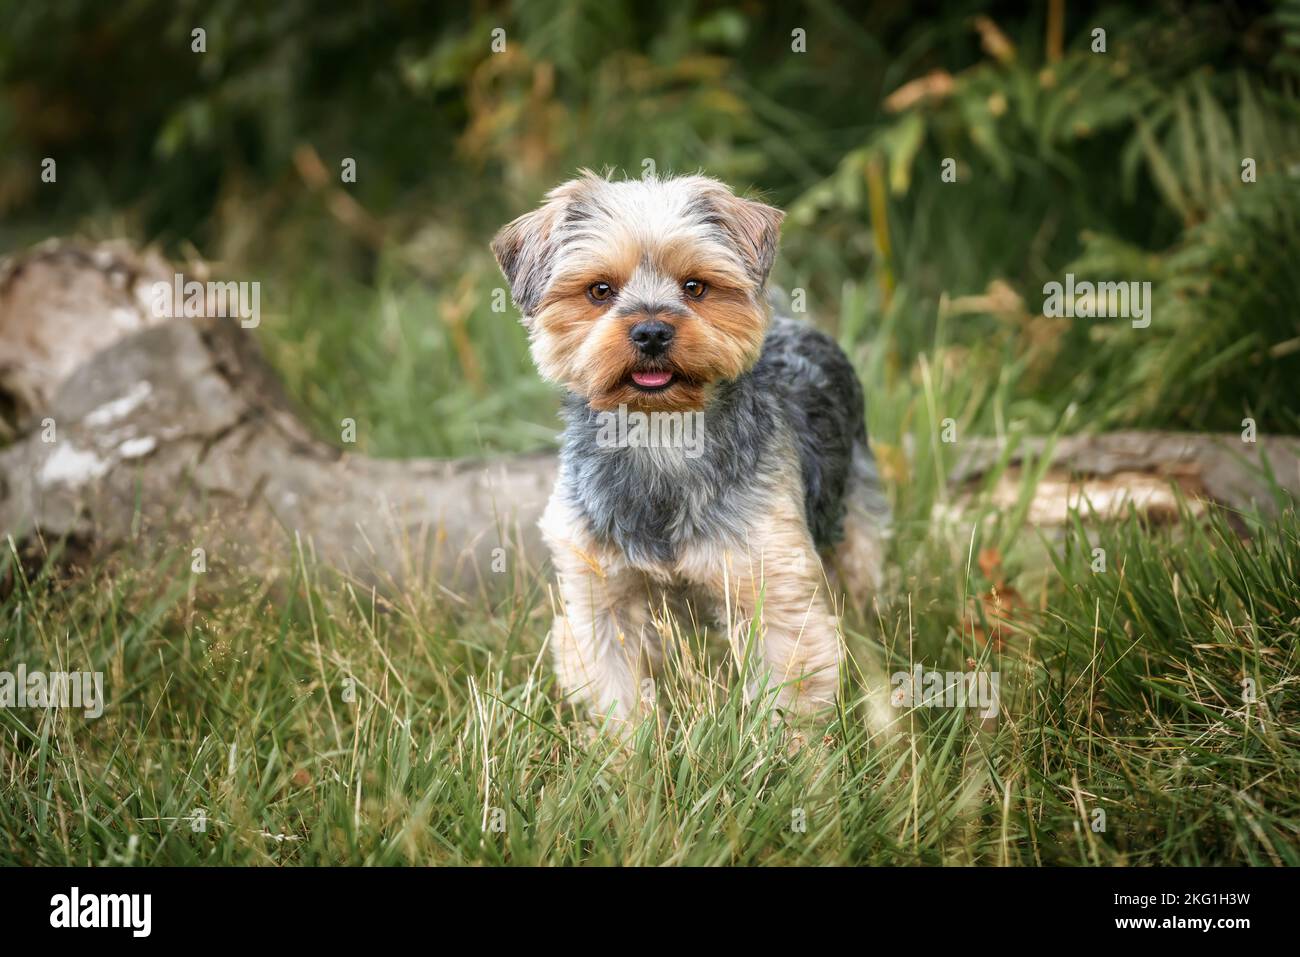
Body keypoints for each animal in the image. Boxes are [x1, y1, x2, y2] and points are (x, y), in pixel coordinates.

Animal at [491, 170, 889, 722]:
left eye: (695, 286)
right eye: (599, 290)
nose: (651, 330)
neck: (663, 432)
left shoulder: (771, 582)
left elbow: (790, 685)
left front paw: (788, 746)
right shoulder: (601, 594)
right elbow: (619, 695)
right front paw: (629, 747)